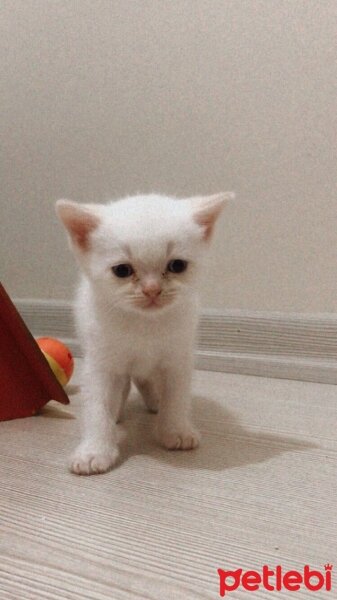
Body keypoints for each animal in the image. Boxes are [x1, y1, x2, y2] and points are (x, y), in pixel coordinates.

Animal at [55, 192, 231, 474]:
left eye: (177, 265)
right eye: (122, 270)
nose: (152, 290)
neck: (144, 325)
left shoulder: (178, 358)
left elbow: (176, 395)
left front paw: (175, 430)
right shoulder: (101, 362)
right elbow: (98, 406)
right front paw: (95, 450)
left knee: (147, 378)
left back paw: (155, 400)